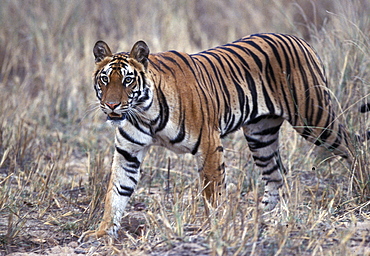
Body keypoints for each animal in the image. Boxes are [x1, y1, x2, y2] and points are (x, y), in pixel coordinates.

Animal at [79, 33, 362, 240]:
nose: (112, 105)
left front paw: (212, 228)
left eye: (127, 80)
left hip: (314, 118)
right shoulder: (128, 153)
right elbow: (116, 193)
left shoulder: (208, 144)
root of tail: (300, 39)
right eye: (105, 79)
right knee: (275, 174)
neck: (144, 114)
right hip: (260, 135)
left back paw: (360, 187)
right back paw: (262, 216)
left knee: (352, 146)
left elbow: (212, 192)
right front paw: (102, 232)